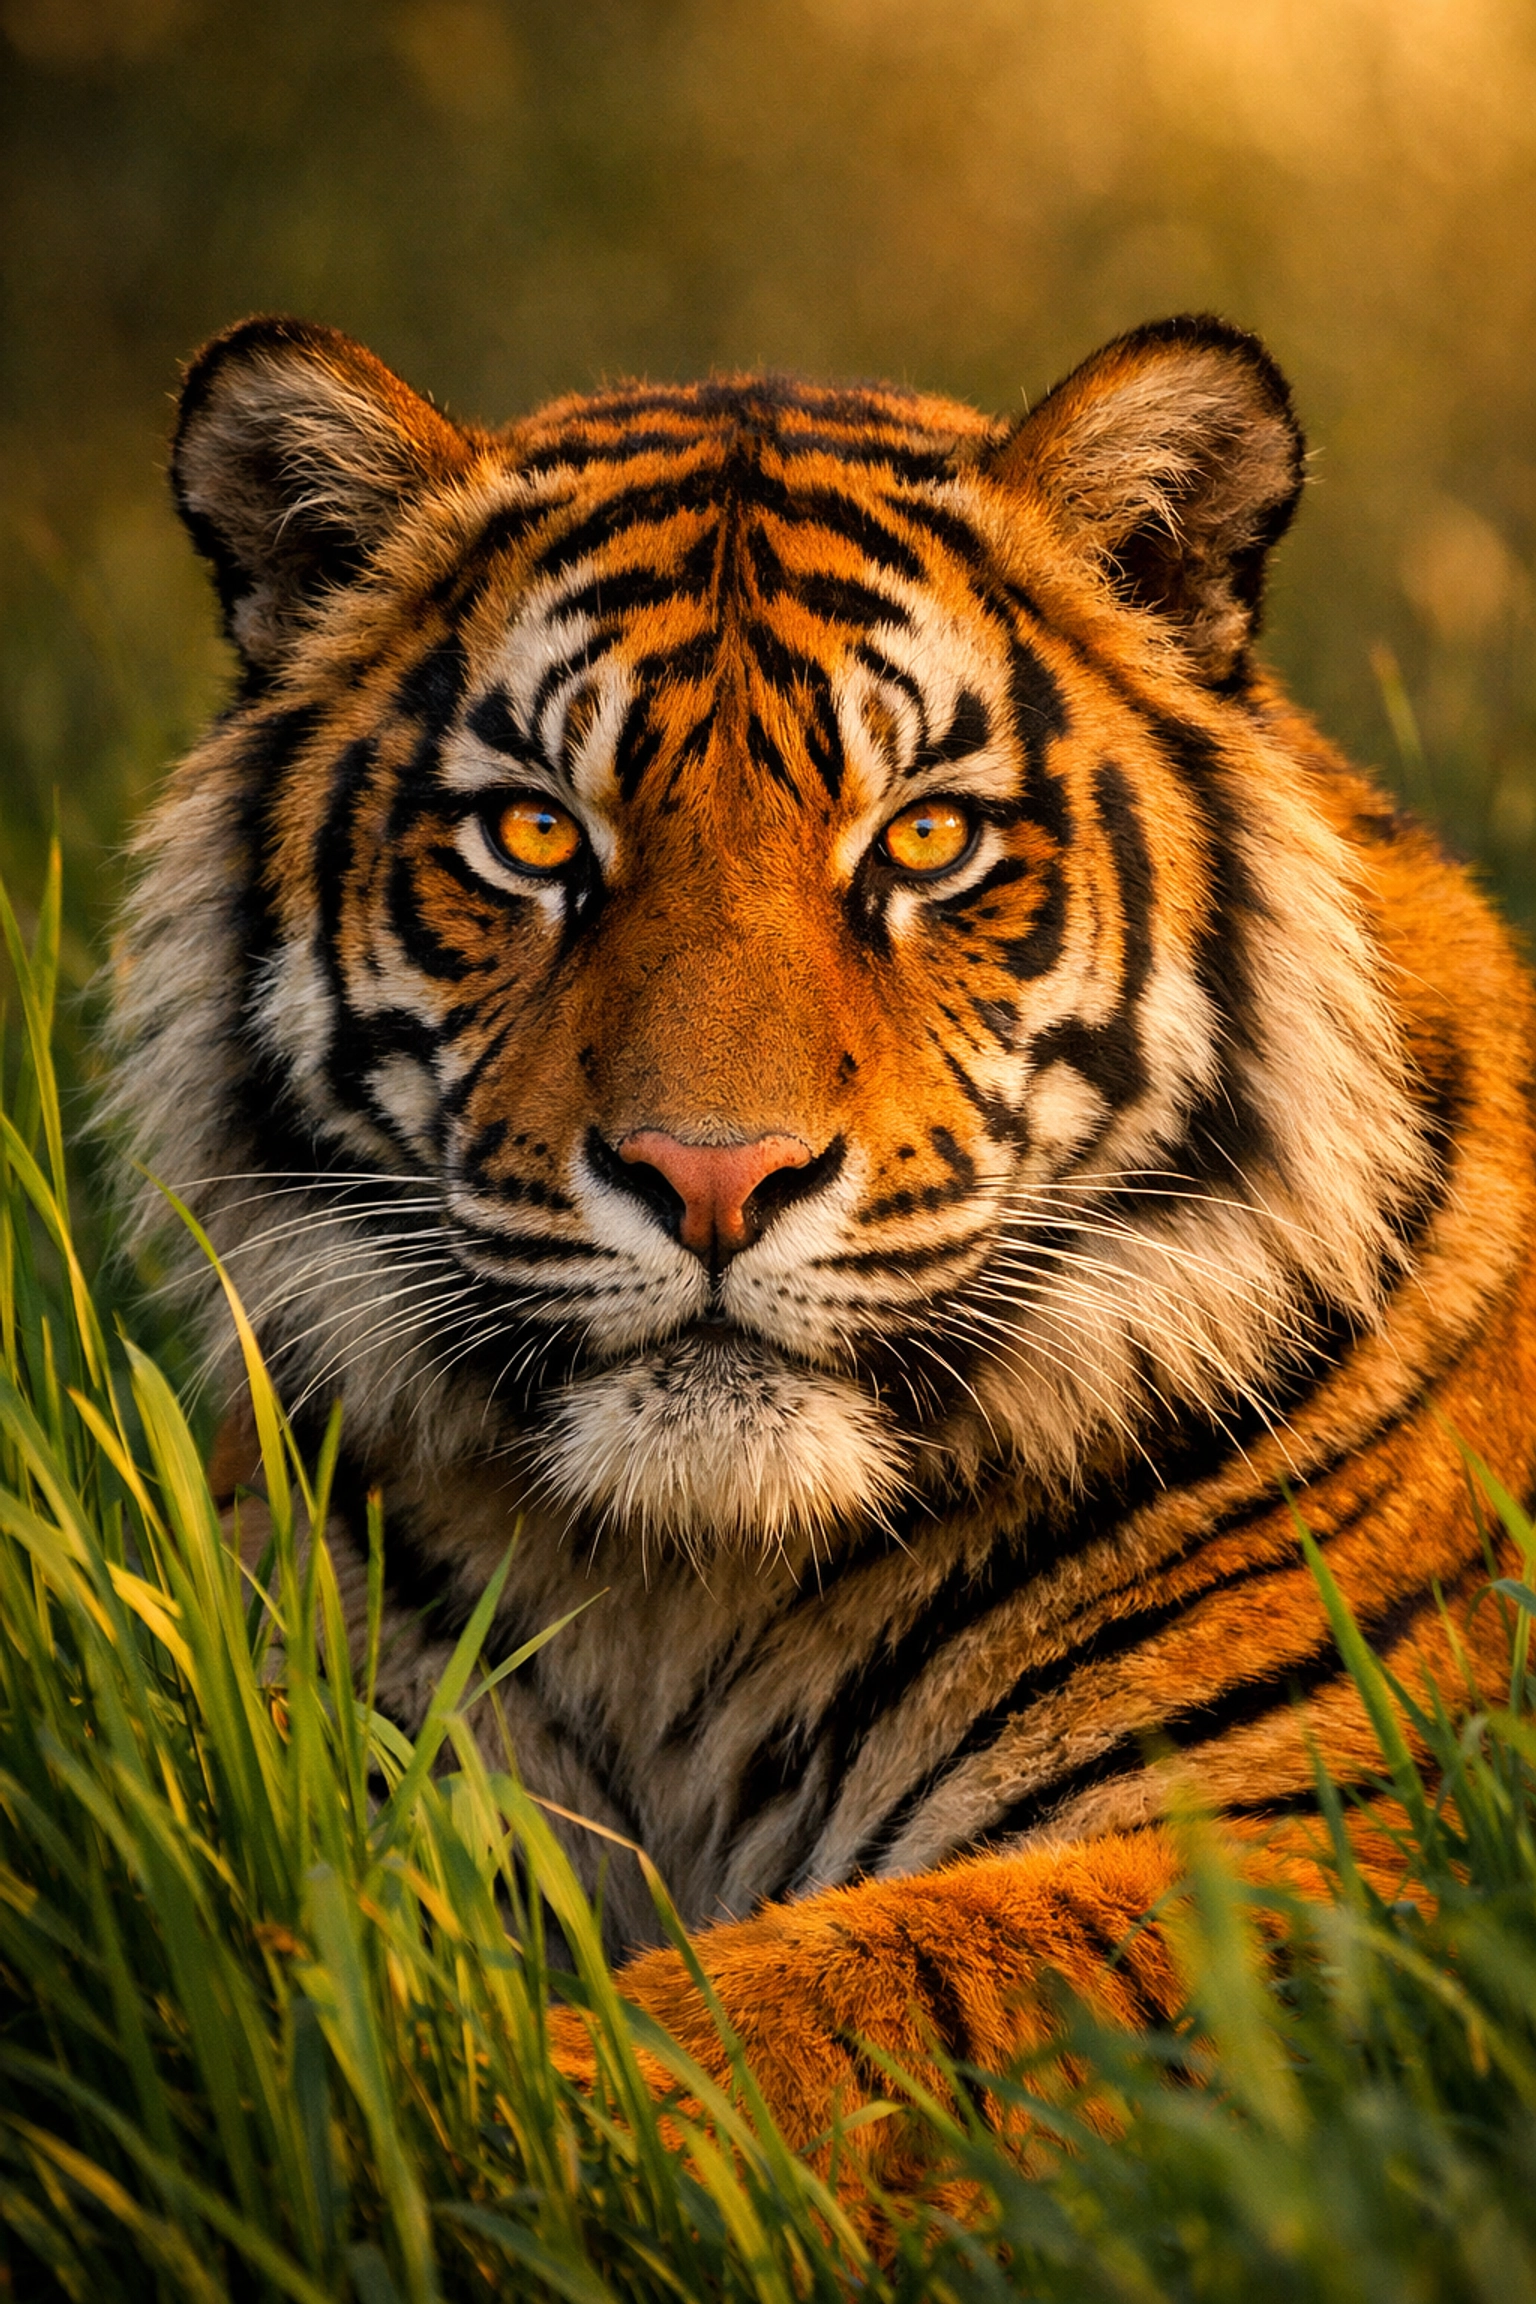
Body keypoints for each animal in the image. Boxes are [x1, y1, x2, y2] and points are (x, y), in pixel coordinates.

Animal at [112, 309, 1536, 2177]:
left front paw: (443, 2127)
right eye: (536, 832)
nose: (712, 1176)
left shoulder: (1329, 1837)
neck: (687, 1592)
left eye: (927, 836)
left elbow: (858, 1986)